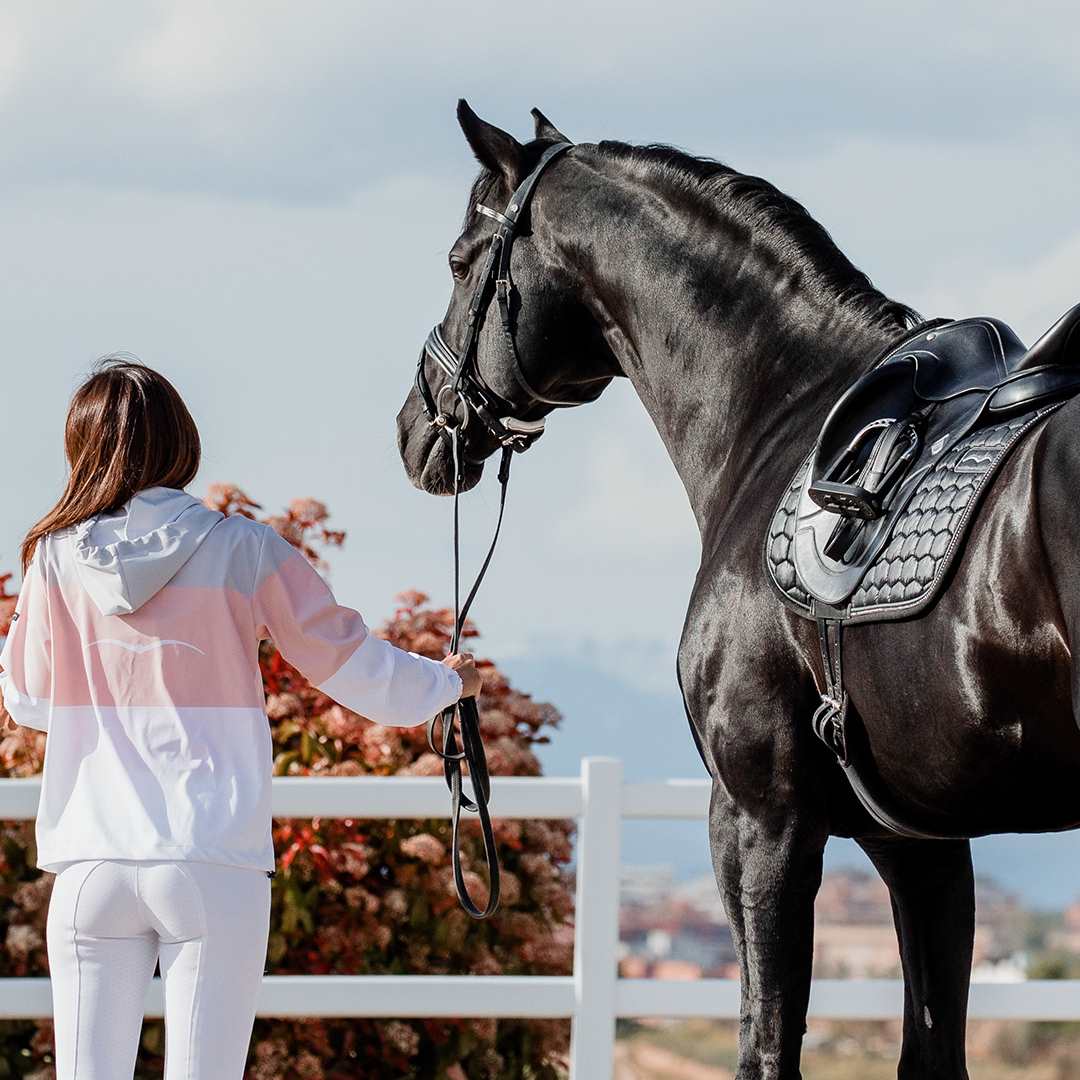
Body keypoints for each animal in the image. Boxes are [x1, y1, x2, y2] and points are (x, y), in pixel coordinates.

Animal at [395, 103, 1080, 1080]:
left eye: (460, 260)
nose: (416, 427)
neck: (781, 415)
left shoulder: (760, 820)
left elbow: (765, 1045)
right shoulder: (920, 842)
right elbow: (928, 1046)